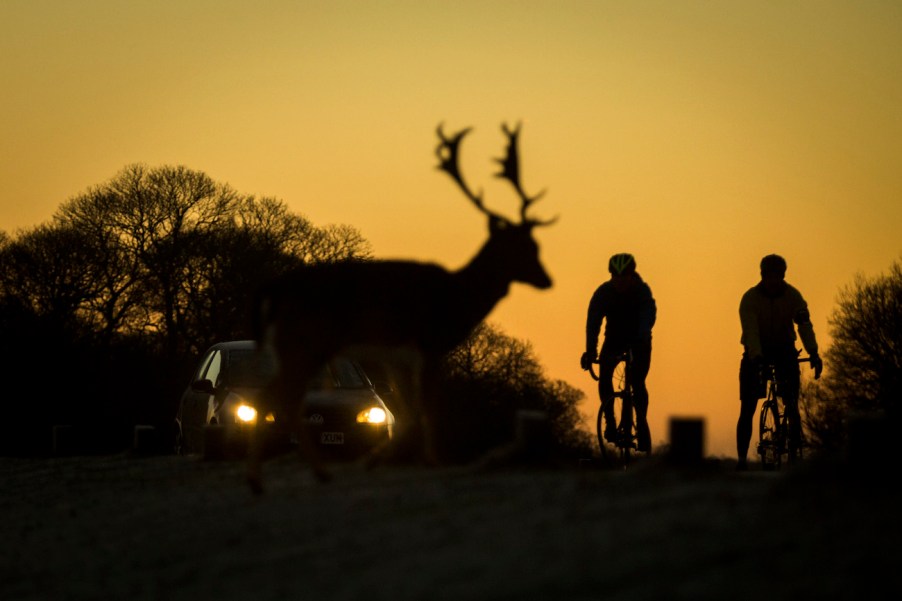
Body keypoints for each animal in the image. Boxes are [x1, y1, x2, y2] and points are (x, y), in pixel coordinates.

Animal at [249, 122, 556, 492]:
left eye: (536, 244)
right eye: (523, 247)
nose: (546, 279)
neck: (459, 297)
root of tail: (275, 290)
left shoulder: (397, 358)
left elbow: (407, 414)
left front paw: (381, 460)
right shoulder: (429, 345)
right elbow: (426, 411)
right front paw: (429, 462)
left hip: (297, 344)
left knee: (279, 397)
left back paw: (304, 474)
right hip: (308, 339)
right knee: (275, 397)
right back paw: (267, 479)